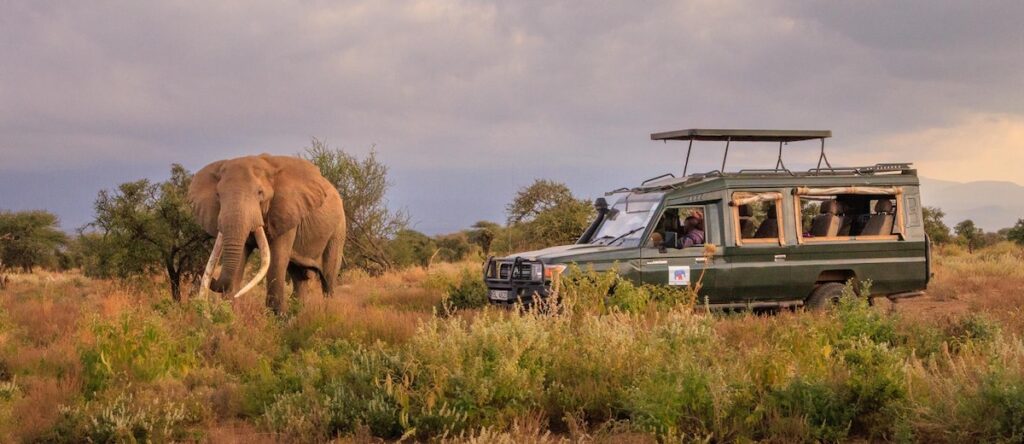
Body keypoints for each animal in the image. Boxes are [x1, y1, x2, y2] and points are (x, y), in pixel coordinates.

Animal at [188, 154, 346, 313]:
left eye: (260, 193)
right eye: (218, 195)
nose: (202, 275)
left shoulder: (286, 213)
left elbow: (276, 260)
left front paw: (278, 317)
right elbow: (239, 260)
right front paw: (230, 314)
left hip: (338, 229)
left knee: (328, 276)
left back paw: (328, 310)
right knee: (299, 277)